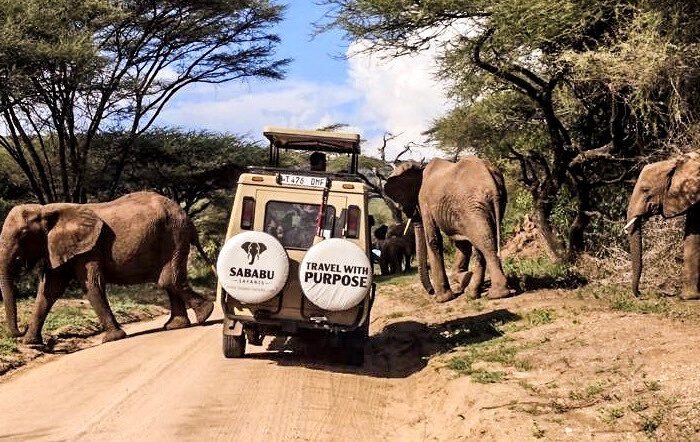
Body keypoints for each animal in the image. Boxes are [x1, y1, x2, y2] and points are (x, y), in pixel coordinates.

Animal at [0, 191, 215, 346]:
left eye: (23, 234)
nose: (19, 331)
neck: (45, 210)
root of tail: (187, 217)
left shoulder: (88, 249)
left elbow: (91, 286)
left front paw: (112, 338)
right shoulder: (55, 247)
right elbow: (49, 290)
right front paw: (30, 344)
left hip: (174, 236)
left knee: (168, 279)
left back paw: (206, 313)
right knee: (167, 280)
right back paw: (176, 326)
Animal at [384, 157, 509, 302]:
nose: (431, 291)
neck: (420, 167)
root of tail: (489, 176)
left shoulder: (425, 201)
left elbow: (433, 240)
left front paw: (443, 299)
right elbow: (462, 243)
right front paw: (464, 278)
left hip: (472, 206)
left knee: (484, 242)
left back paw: (497, 294)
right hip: (483, 204)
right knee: (481, 241)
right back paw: (472, 294)